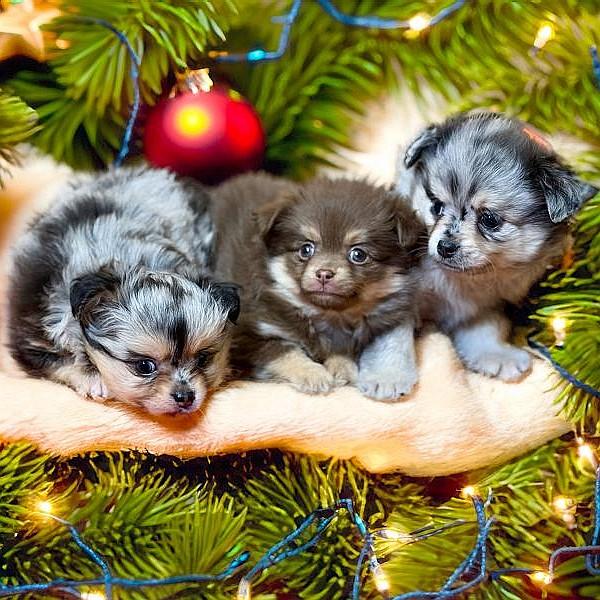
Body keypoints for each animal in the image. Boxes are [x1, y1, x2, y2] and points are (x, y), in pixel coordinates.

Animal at [7, 167, 239, 416]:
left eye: (203, 359)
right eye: (144, 366)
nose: (185, 396)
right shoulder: (33, 337)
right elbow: (60, 361)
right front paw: (92, 379)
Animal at [210, 172, 424, 400]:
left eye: (358, 254)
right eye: (306, 249)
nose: (324, 273)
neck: (327, 315)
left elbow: (342, 349)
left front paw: (343, 367)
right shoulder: (245, 336)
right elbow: (284, 350)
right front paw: (314, 374)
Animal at [384, 111, 598, 381]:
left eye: (489, 220)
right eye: (436, 206)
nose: (445, 247)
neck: (460, 281)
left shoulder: (486, 306)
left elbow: (485, 330)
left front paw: (496, 355)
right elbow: (392, 337)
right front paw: (390, 377)